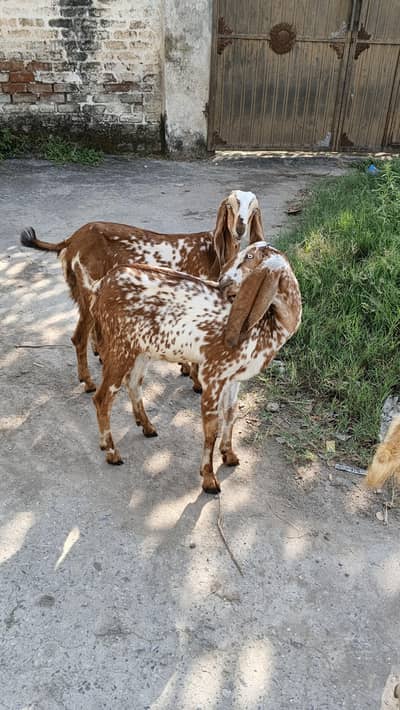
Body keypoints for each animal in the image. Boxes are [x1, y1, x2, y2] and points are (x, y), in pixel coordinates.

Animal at [20, 190, 263, 393]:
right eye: (231, 205)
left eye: (252, 207)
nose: (239, 228)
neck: (212, 251)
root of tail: (72, 240)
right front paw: (195, 380)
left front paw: (185, 369)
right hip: (89, 289)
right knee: (79, 336)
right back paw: (88, 382)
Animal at [76, 241, 301, 493]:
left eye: (249, 256)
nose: (222, 281)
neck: (267, 324)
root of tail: (100, 285)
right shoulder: (214, 373)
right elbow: (211, 429)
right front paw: (209, 479)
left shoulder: (233, 377)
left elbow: (231, 413)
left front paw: (229, 455)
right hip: (119, 347)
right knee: (102, 398)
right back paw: (112, 452)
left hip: (141, 349)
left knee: (133, 384)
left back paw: (147, 427)